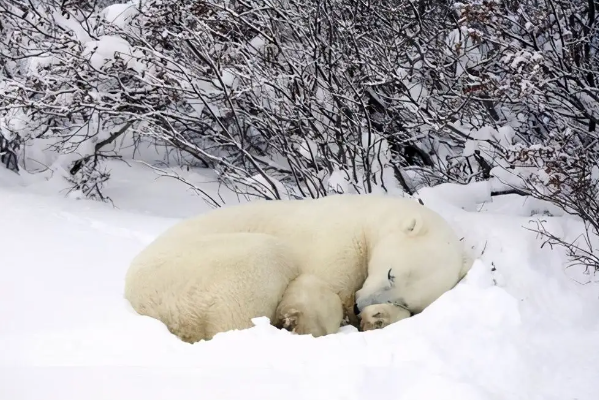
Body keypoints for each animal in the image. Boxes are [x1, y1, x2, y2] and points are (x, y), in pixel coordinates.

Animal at [125, 193, 474, 340]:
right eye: (390, 273)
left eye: (403, 298)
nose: (360, 306)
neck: (368, 218)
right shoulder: (339, 240)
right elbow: (324, 285)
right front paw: (307, 317)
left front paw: (377, 318)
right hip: (199, 269)